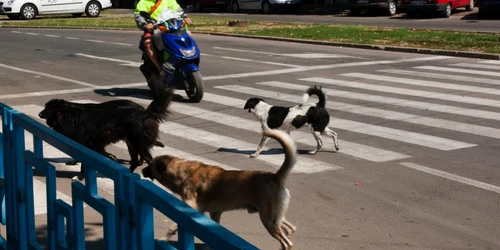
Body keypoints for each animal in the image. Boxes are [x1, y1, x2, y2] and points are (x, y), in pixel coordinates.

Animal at [38, 74, 174, 182]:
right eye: (45, 107)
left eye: (48, 109)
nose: (39, 114)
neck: (70, 115)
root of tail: (143, 112)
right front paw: (109, 157)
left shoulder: (88, 145)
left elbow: (84, 164)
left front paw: (80, 177)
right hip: (131, 143)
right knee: (135, 161)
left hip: (137, 143)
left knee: (148, 158)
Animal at [141, 129, 296, 250]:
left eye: (149, 164)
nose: (141, 170)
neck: (183, 172)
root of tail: (275, 176)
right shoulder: (215, 213)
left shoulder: (193, 210)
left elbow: (173, 227)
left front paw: (165, 238)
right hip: (270, 215)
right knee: (287, 229)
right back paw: (289, 230)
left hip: (267, 220)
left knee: (287, 243)